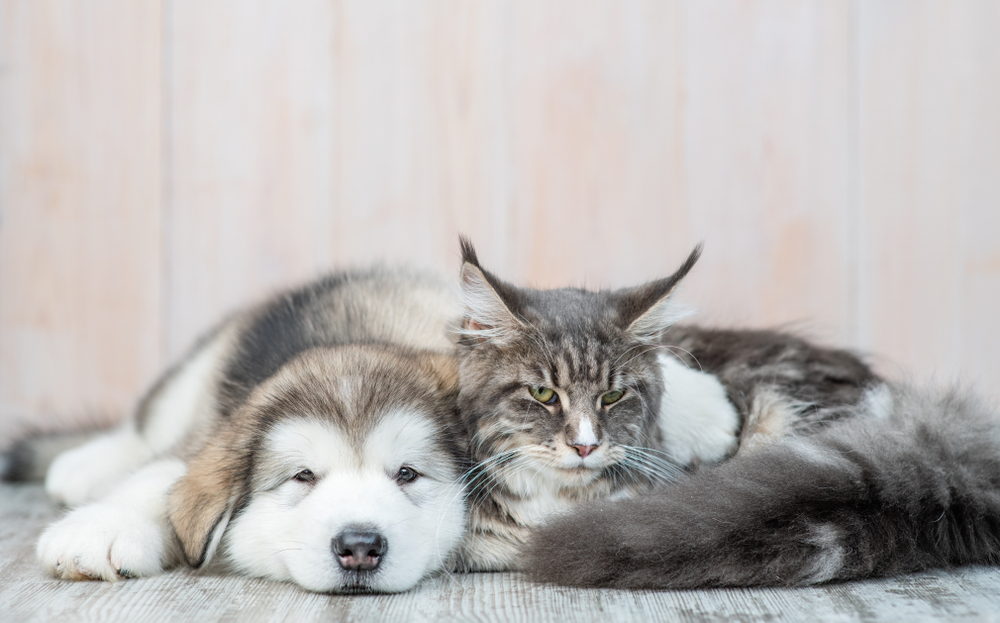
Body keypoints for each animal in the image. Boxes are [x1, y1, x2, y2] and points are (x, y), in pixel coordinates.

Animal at [8, 268, 468, 596]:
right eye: (303, 476)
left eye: (407, 474)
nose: (359, 546)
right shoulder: (218, 424)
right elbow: (164, 474)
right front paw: (105, 525)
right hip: (201, 370)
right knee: (143, 430)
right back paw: (86, 465)